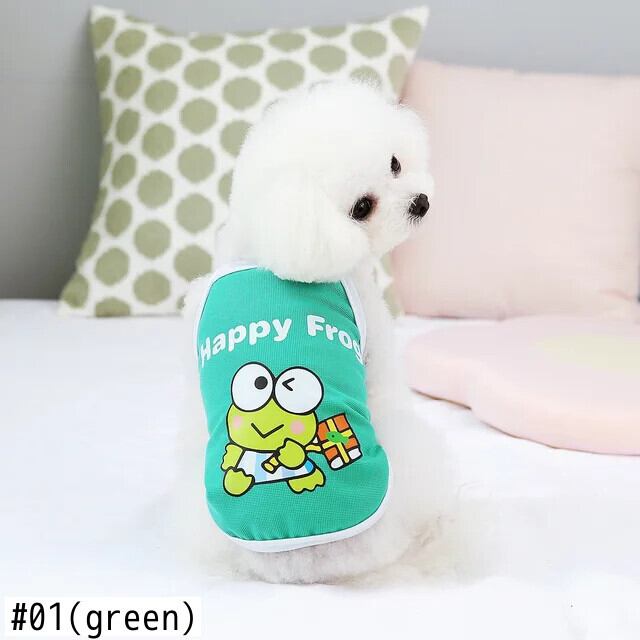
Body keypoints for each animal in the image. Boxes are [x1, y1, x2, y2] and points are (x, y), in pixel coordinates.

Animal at [176, 80, 446, 584]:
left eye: (394, 164)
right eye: (362, 207)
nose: (420, 203)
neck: (265, 249)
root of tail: (301, 560)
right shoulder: (376, 344)